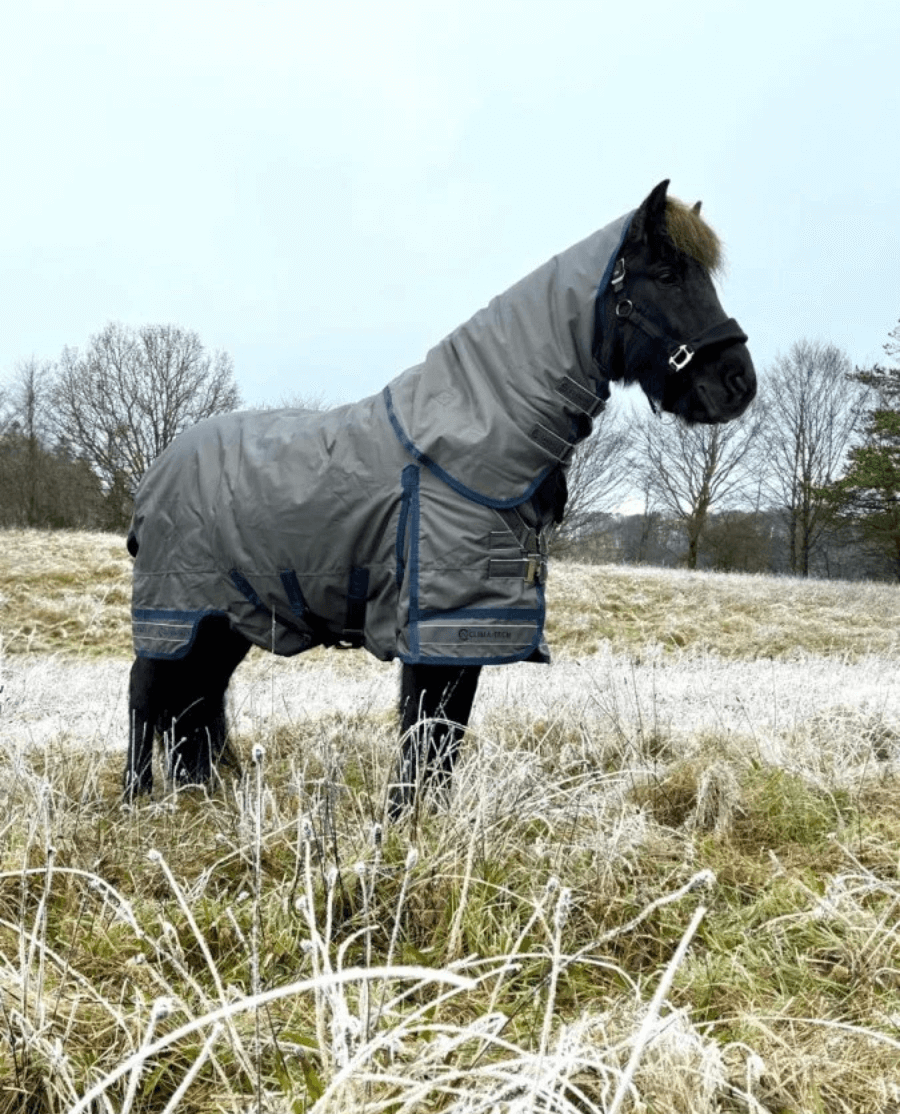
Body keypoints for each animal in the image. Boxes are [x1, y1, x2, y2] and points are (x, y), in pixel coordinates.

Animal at [124, 180, 756, 816]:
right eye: (668, 274)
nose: (738, 384)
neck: (466, 446)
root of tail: (160, 470)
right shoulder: (440, 629)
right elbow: (423, 731)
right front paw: (403, 821)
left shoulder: (469, 631)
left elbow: (445, 739)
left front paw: (426, 821)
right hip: (174, 614)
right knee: (147, 693)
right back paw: (136, 798)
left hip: (220, 620)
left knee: (196, 700)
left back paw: (199, 792)